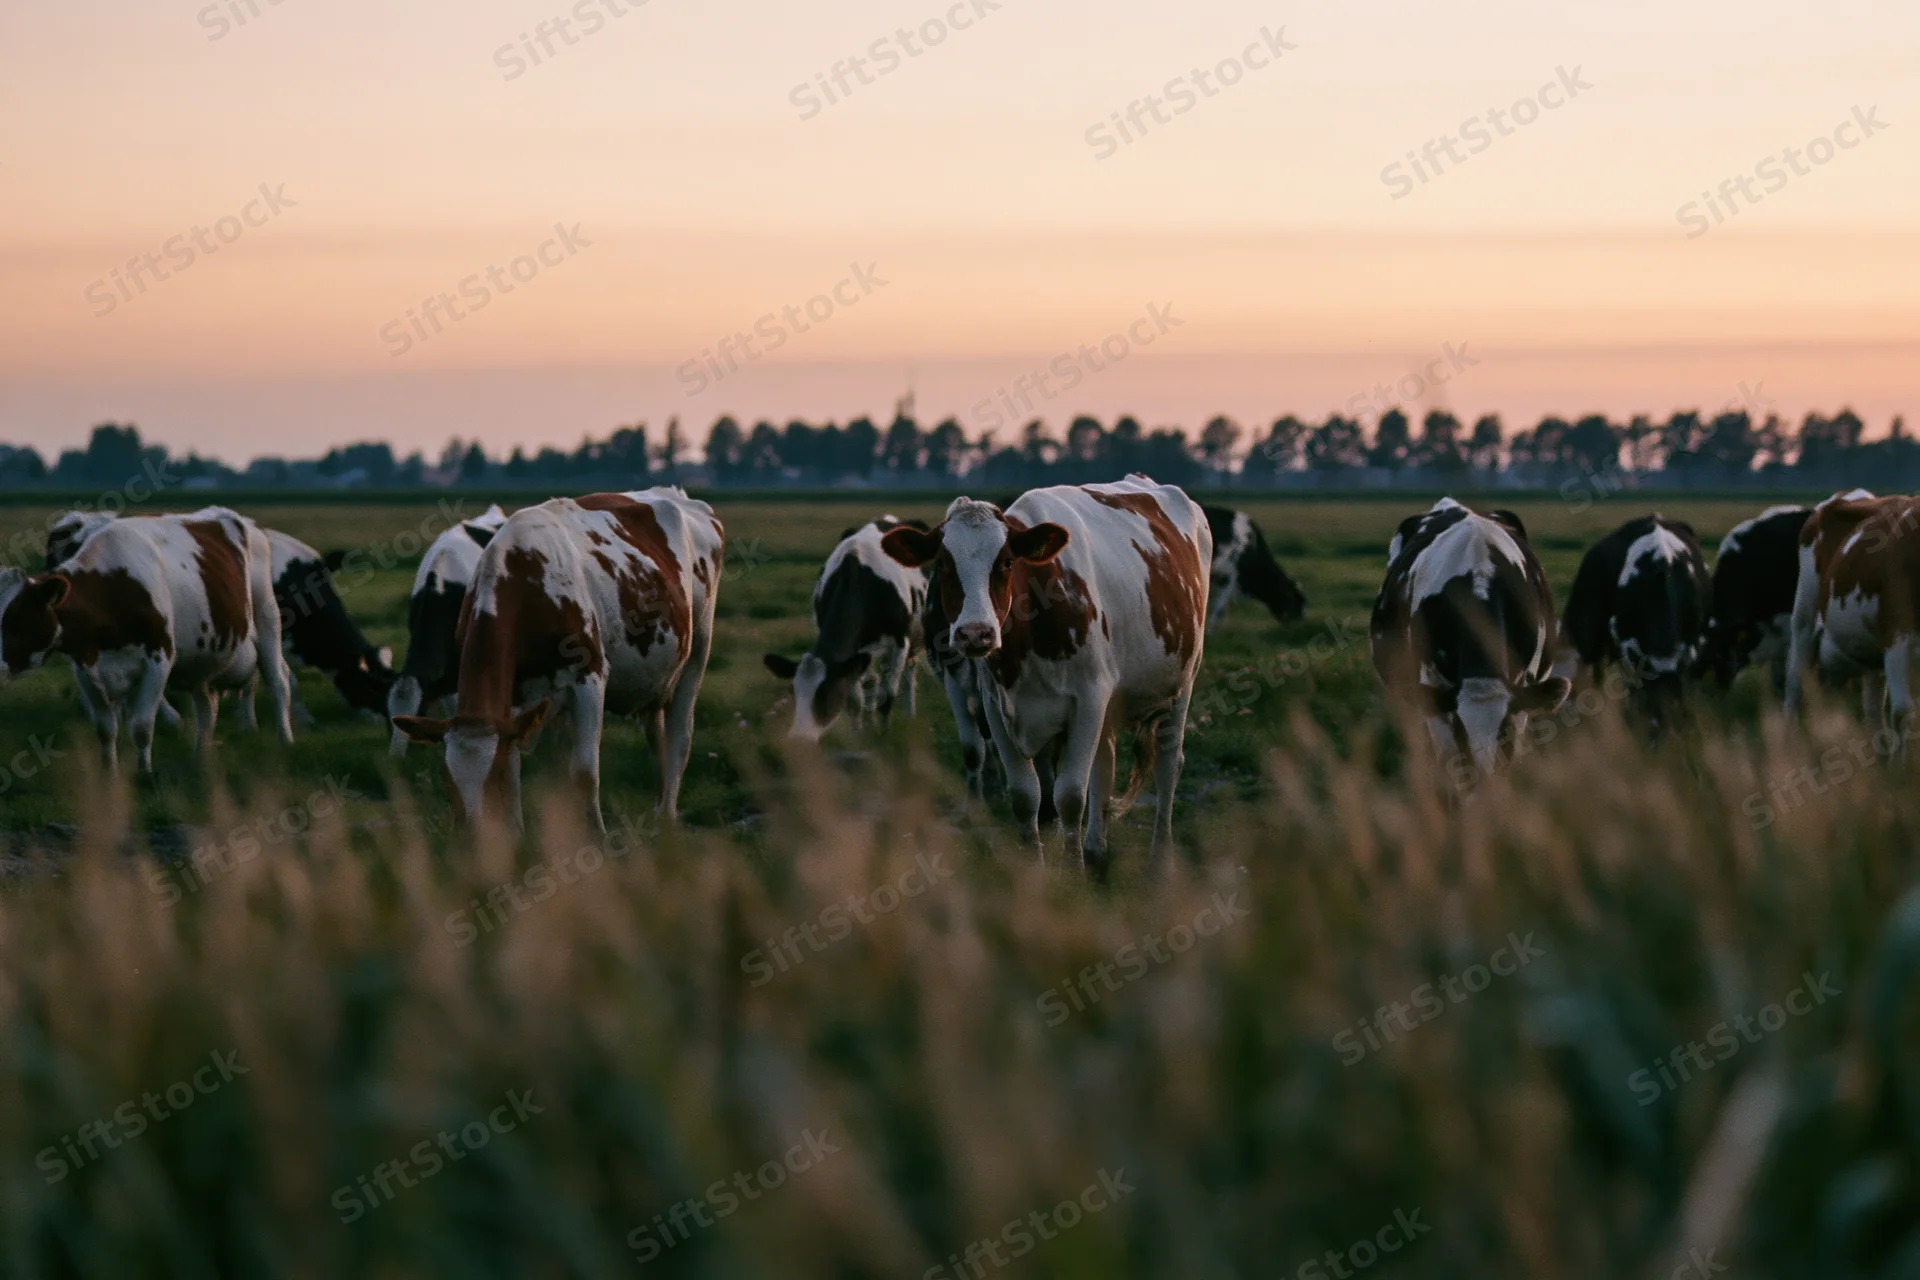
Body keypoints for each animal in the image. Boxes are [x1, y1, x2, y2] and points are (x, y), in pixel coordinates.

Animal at [1, 507, 294, 773]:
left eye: (17, 618)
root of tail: (242, 520)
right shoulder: (85, 669)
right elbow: (105, 729)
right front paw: (109, 776)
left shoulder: (158, 661)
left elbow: (141, 727)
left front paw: (145, 774)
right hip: (204, 659)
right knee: (206, 709)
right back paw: (201, 757)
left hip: (266, 618)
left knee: (277, 680)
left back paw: (285, 740)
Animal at [764, 516, 927, 741]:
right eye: (793, 693)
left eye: (826, 694)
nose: (799, 738)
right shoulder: (853, 654)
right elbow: (855, 701)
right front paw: (860, 737)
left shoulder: (900, 641)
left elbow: (888, 696)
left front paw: (884, 736)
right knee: (873, 683)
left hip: (915, 640)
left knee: (909, 678)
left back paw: (910, 717)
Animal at [880, 474, 1210, 877]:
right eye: (942, 564)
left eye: (1007, 562)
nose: (975, 633)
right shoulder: (996, 708)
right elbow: (1026, 796)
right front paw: (1034, 872)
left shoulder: (1089, 699)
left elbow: (1069, 795)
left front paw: (1072, 871)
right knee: (1106, 763)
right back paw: (1096, 849)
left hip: (1182, 684)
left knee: (1167, 765)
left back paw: (1159, 862)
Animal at [1371, 498, 1569, 782]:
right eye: (1462, 731)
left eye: (1505, 734)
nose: (1486, 778)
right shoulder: (1433, 689)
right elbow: (1448, 758)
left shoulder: (1524, 687)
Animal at [1784, 492, 1920, 725]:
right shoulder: (1897, 633)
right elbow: (1903, 713)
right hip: (1804, 611)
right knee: (1794, 681)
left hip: (1872, 650)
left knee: (1873, 709)